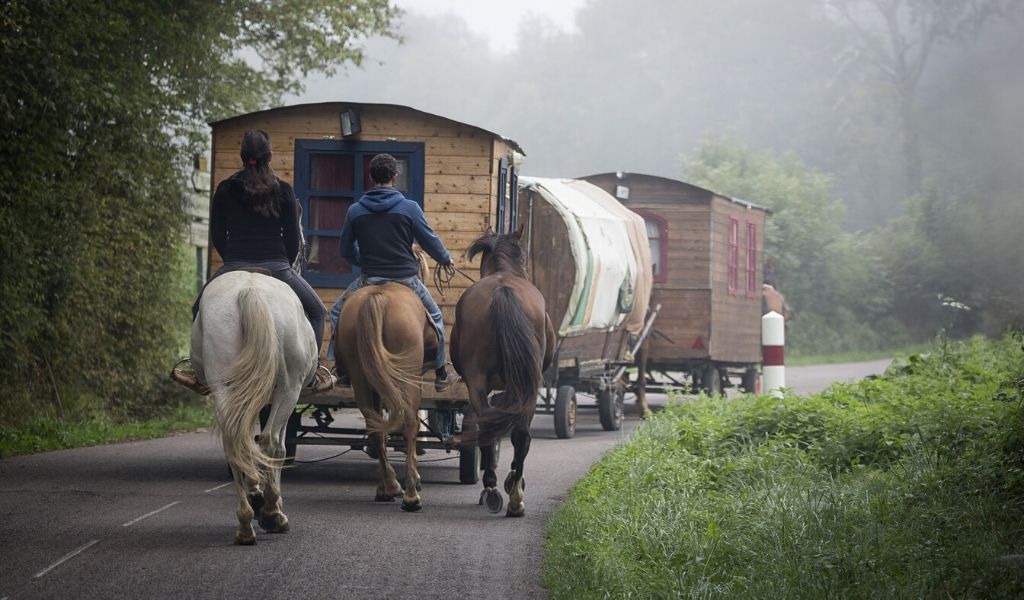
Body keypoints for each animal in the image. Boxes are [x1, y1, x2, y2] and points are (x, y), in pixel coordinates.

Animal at [190, 270, 317, 540]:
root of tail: (251, 290)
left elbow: (248, 441)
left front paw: (255, 494)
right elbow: (275, 446)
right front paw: (268, 503)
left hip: (225, 387)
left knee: (234, 443)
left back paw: (246, 523)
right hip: (289, 389)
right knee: (272, 444)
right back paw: (271, 514)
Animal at [331, 280, 436, 509]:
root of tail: (377, 297)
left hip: (360, 375)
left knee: (375, 427)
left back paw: (389, 487)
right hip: (406, 374)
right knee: (409, 424)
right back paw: (411, 496)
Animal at [452, 226, 557, 516]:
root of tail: (502, 291)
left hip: (481, 382)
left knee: (492, 425)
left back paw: (494, 489)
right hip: (527, 385)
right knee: (519, 435)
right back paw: (513, 494)